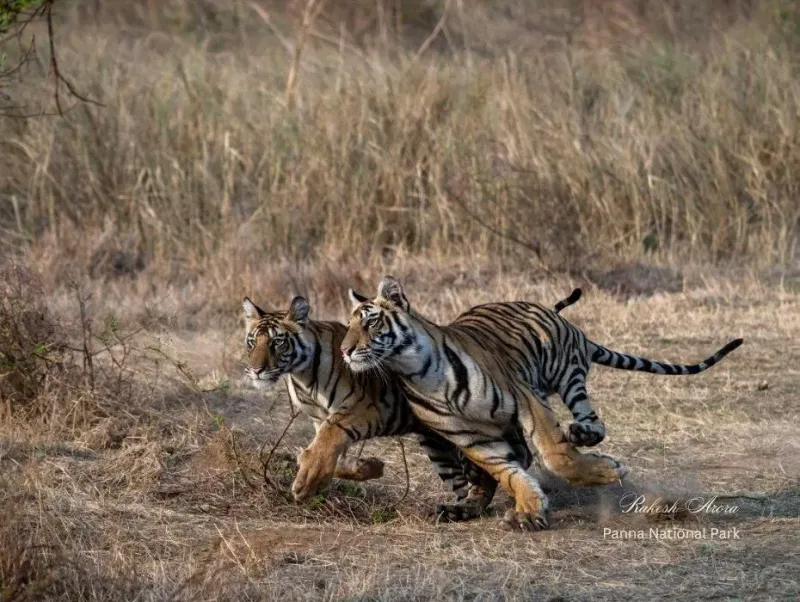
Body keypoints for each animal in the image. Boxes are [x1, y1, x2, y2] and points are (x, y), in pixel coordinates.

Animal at [241, 289, 583, 520]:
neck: (301, 378)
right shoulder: (319, 420)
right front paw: (367, 467)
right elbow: (327, 454)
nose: (255, 370)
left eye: (277, 342)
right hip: (440, 444)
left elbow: (326, 443)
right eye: (252, 342)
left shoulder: (362, 409)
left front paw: (306, 481)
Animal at [341, 276, 743, 531]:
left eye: (371, 323)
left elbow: (555, 454)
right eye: (348, 325)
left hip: (565, 372)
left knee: (591, 420)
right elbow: (507, 471)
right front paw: (529, 511)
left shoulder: (525, 400)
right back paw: (464, 507)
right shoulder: (471, 437)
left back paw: (583, 435)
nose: (345, 350)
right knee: (500, 466)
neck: (417, 370)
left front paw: (605, 471)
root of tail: (563, 320)